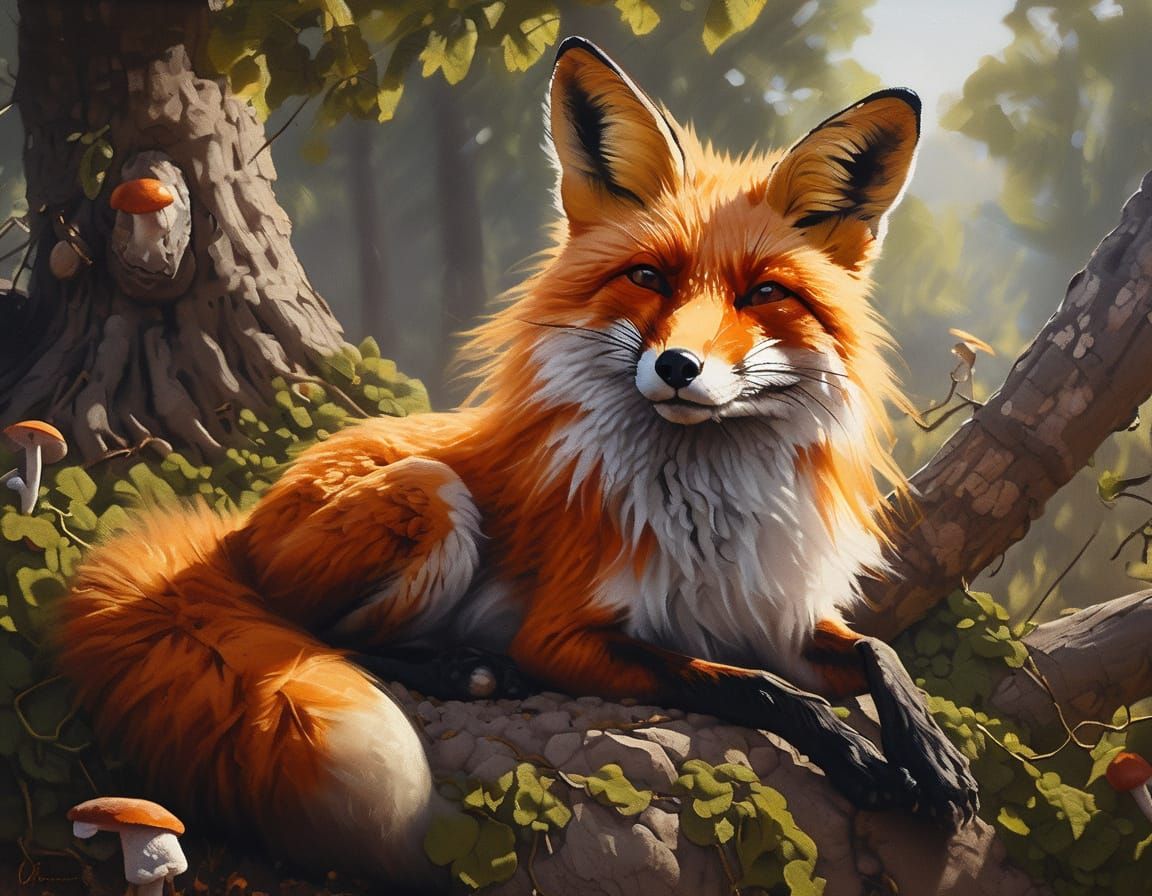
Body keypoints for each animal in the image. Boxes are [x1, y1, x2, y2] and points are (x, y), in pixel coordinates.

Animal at [57, 37, 978, 883]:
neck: (708, 511)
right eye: (650, 277)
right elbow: (756, 688)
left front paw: (930, 755)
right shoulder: (564, 636)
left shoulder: (771, 614)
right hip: (431, 499)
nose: (679, 367)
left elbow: (875, 651)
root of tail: (241, 521)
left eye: (764, 294)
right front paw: (859, 758)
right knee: (327, 635)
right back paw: (464, 669)